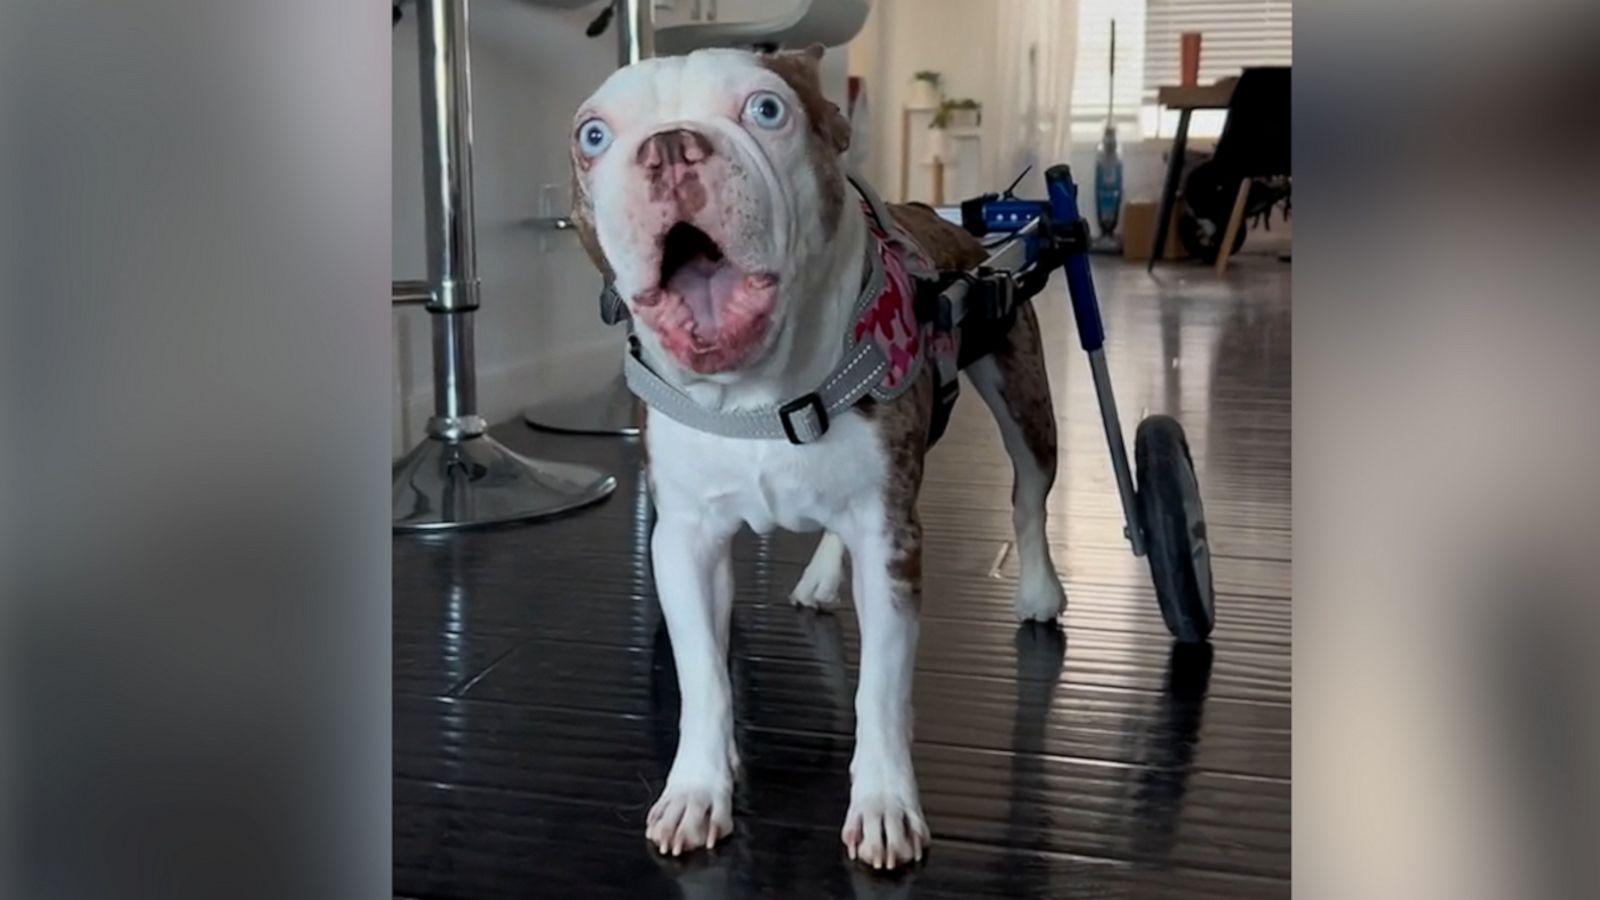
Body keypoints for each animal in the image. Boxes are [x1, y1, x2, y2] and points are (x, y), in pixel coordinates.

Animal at [569, 45, 1068, 864]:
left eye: (767, 109)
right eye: (593, 136)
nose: (671, 148)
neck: (758, 396)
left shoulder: (890, 540)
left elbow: (881, 691)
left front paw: (886, 804)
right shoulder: (684, 543)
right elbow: (703, 678)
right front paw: (698, 788)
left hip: (1022, 393)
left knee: (1028, 497)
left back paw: (1037, 591)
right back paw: (820, 578)